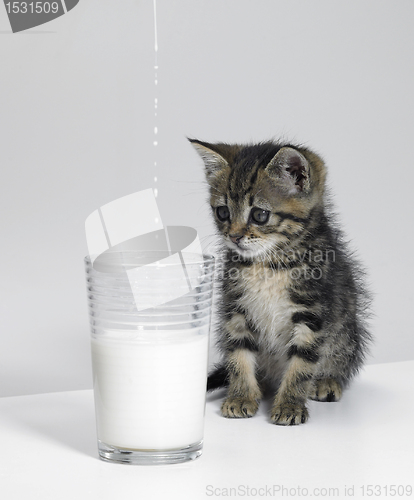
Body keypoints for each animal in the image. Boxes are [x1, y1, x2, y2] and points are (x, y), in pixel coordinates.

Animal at [189, 138, 370, 426]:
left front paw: (290, 405)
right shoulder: (236, 307)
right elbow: (238, 354)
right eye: (223, 212)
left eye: (259, 215)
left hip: (346, 330)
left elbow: (302, 363)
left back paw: (327, 381)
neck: (269, 263)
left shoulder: (312, 312)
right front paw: (241, 396)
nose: (234, 237)